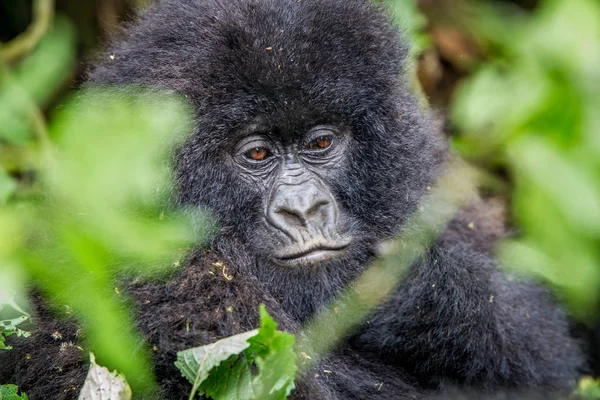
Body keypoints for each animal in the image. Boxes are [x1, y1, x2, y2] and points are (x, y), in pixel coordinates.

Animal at [0, 0, 584, 398]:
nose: (303, 210)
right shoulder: (169, 284)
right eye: (257, 154)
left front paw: (417, 295)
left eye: (320, 143)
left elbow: (545, 352)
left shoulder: (431, 176)